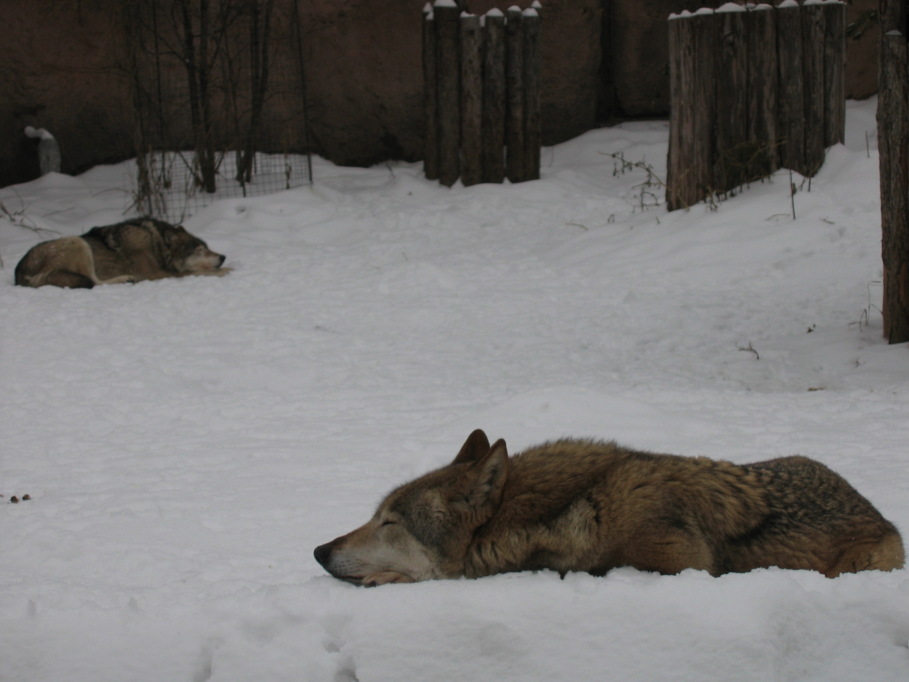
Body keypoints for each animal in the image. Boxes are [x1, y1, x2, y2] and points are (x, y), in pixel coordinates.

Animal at [14, 215, 229, 284]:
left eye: (207, 247)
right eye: (199, 249)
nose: (223, 257)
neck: (156, 245)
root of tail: (19, 274)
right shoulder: (157, 275)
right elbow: (196, 271)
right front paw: (228, 270)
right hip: (78, 243)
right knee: (95, 282)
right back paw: (125, 279)